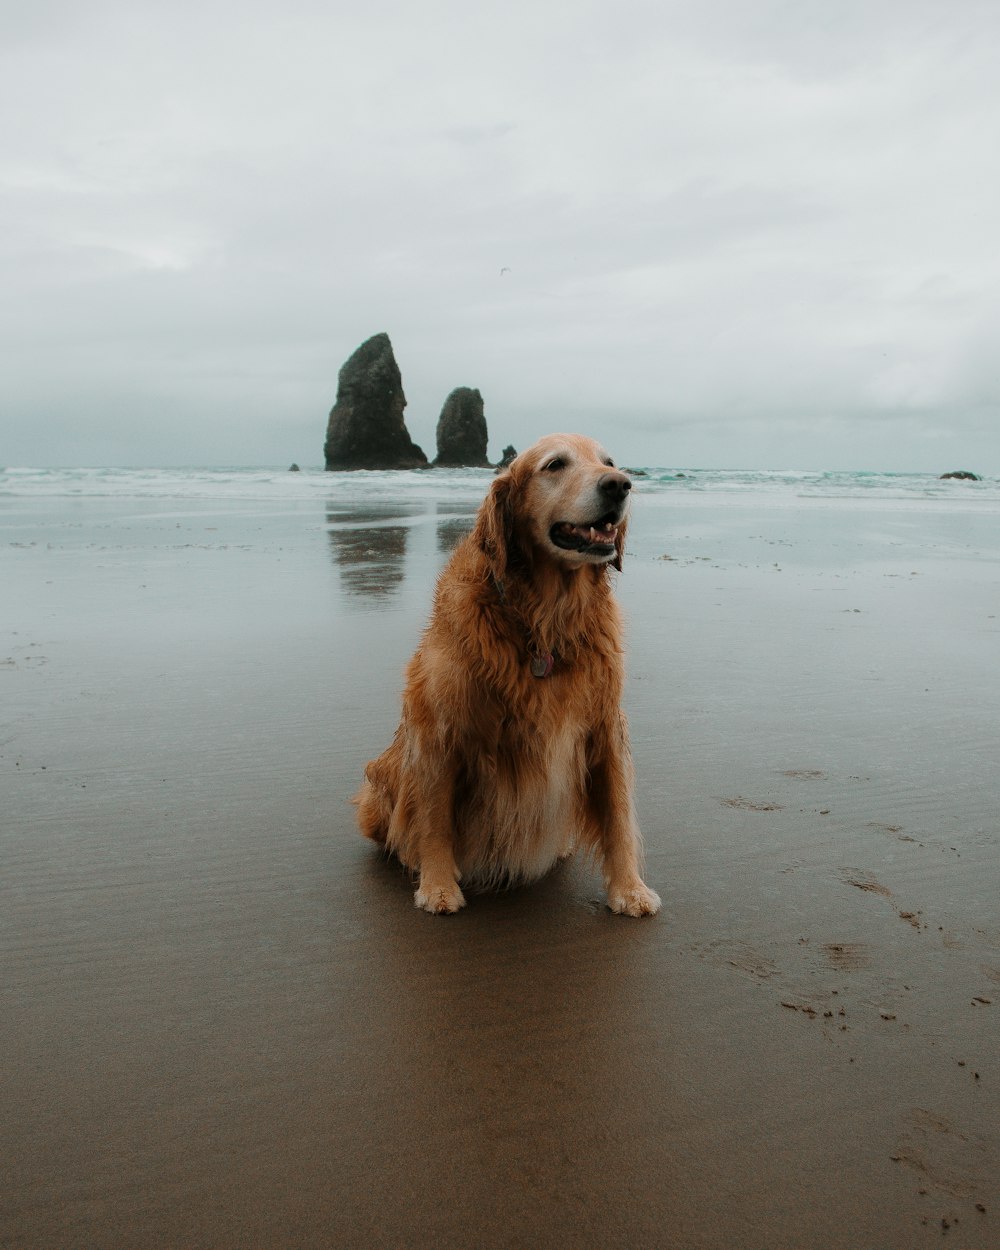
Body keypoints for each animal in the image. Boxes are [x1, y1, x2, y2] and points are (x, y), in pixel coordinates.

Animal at [355, 432, 660, 920]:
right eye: (555, 464)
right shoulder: (441, 729)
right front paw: (438, 886)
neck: (543, 618)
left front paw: (630, 889)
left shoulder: (604, 724)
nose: (620, 485)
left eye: (610, 462)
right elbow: (434, 817)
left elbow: (618, 814)